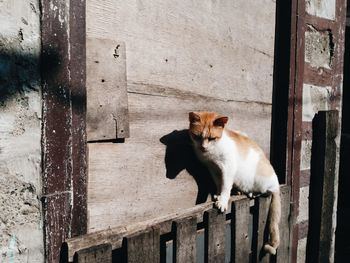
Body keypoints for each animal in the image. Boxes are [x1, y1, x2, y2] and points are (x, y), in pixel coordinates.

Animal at [189, 111, 282, 256]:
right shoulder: (213, 169)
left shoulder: (228, 167)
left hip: (262, 180)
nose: (203, 147)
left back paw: (252, 193)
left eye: (212, 138)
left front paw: (223, 200)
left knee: (267, 191)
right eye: (197, 136)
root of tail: (276, 184)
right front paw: (218, 195)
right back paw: (240, 191)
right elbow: (219, 183)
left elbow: (226, 185)